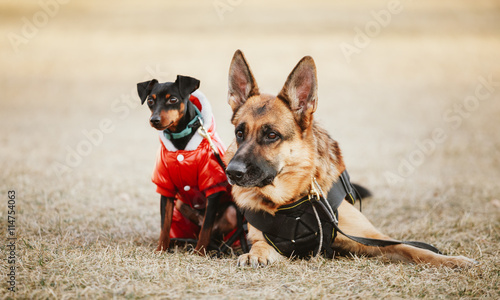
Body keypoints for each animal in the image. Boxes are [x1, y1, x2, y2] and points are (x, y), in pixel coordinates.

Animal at [224, 50, 476, 268]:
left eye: (271, 135)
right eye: (240, 133)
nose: (232, 172)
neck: (293, 202)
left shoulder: (371, 238)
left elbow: (413, 249)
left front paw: (453, 260)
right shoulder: (267, 240)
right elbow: (259, 245)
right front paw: (253, 255)